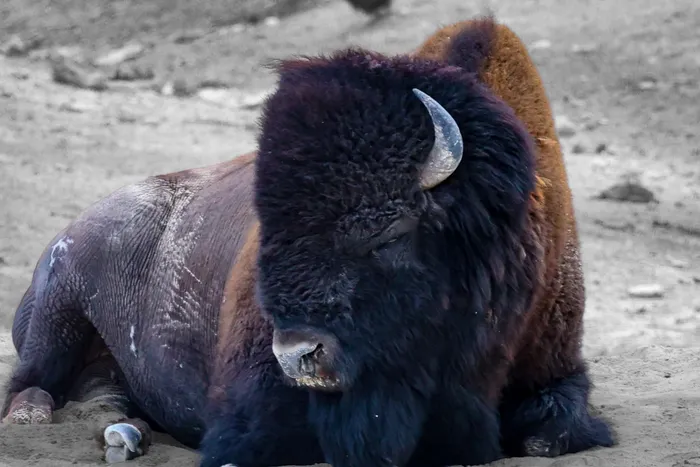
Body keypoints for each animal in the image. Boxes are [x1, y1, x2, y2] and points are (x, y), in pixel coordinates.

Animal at [2, 16, 614, 467]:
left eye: (390, 232)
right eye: (267, 227)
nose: (297, 355)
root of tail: (64, 237)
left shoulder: (557, 370)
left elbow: (547, 433)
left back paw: (123, 431)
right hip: (58, 310)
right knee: (29, 381)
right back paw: (41, 418)